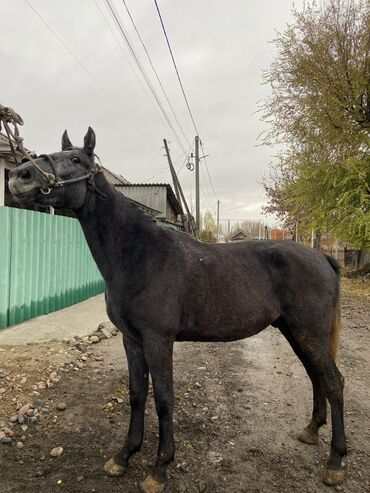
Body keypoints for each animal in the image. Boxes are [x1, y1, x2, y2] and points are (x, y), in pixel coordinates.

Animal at [10, 129, 348, 490]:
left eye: (76, 160)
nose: (20, 175)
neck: (142, 257)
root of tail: (323, 257)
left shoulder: (158, 341)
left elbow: (163, 399)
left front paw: (159, 468)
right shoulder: (132, 340)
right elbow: (136, 395)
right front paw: (123, 457)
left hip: (308, 332)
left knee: (333, 382)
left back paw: (335, 462)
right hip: (295, 332)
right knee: (317, 377)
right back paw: (311, 431)